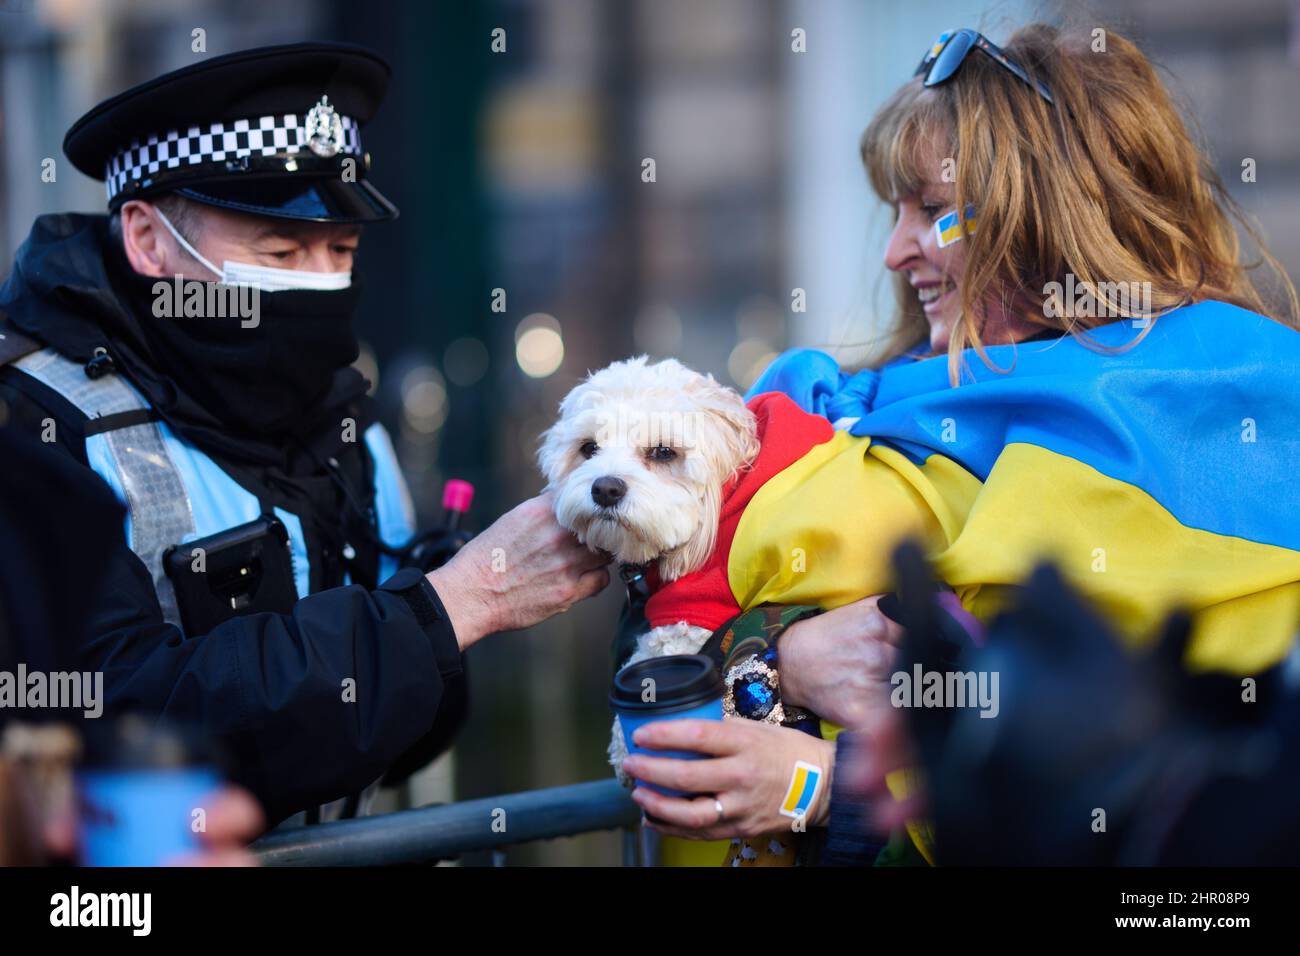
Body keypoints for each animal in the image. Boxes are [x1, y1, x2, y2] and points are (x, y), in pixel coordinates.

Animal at [535, 356, 759, 780]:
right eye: (588, 448)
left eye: (663, 452)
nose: (605, 488)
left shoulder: (700, 602)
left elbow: (658, 651)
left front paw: (625, 746)